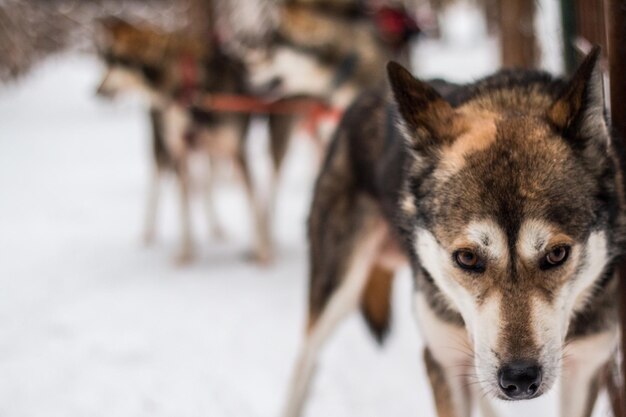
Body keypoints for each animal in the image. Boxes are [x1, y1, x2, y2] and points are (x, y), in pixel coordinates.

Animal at [95, 17, 294, 264]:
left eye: (113, 61)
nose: (96, 90)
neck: (190, 90)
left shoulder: (235, 151)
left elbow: (252, 204)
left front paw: (262, 252)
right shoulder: (180, 153)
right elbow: (184, 208)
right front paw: (186, 253)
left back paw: (221, 229)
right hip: (165, 148)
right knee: (159, 185)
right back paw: (148, 234)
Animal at [286, 45, 624, 416]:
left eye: (557, 254)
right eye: (467, 258)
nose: (520, 378)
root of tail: (366, 94)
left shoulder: (588, 366)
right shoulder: (443, 359)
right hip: (338, 291)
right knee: (305, 361)